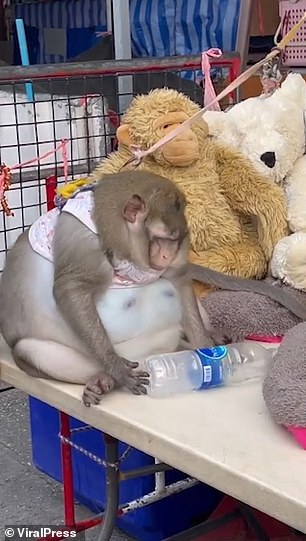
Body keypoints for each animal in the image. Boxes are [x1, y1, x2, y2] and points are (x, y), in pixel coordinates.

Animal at [0, 170, 222, 404]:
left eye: (176, 240)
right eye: (162, 238)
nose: (167, 255)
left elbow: (179, 280)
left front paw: (205, 346)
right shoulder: (83, 239)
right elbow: (70, 288)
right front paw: (116, 367)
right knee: (29, 349)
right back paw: (104, 379)